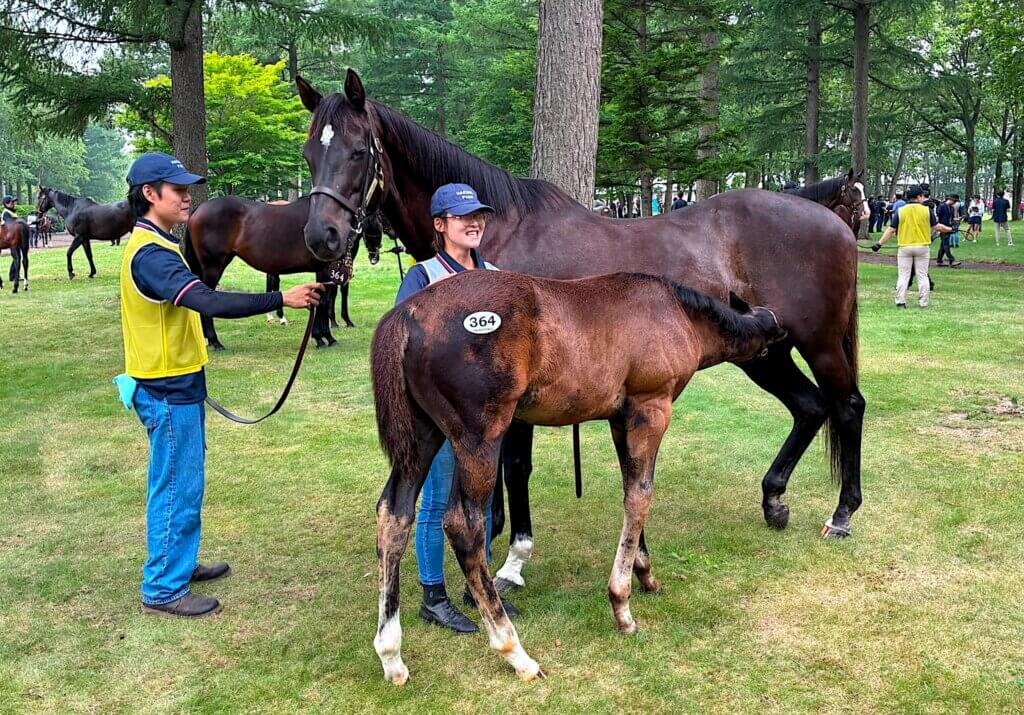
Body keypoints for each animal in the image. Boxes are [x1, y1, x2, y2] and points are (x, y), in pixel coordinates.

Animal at [183, 195, 382, 350]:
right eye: (374, 226)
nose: (374, 257)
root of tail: (199, 209)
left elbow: (323, 299)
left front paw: (324, 335)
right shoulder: (327, 270)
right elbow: (325, 301)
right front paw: (326, 337)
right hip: (213, 266)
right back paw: (215, 341)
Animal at [298, 71, 863, 591]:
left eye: (357, 151)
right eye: (308, 154)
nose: (321, 236)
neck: (500, 230)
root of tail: (834, 224)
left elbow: (515, 467)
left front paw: (511, 558)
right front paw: (497, 536)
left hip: (817, 343)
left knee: (847, 406)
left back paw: (842, 514)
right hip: (763, 349)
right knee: (810, 406)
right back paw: (774, 498)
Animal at [370, 270, 788, 683]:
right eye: (776, 347)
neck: (677, 312)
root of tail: (407, 315)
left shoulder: (621, 419)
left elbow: (630, 491)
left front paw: (645, 574)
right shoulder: (651, 409)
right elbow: (640, 497)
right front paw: (622, 606)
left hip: (424, 435)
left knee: (394, 514)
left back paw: (391, 655)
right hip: (479, 438)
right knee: (463, 525)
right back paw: (515, 652)